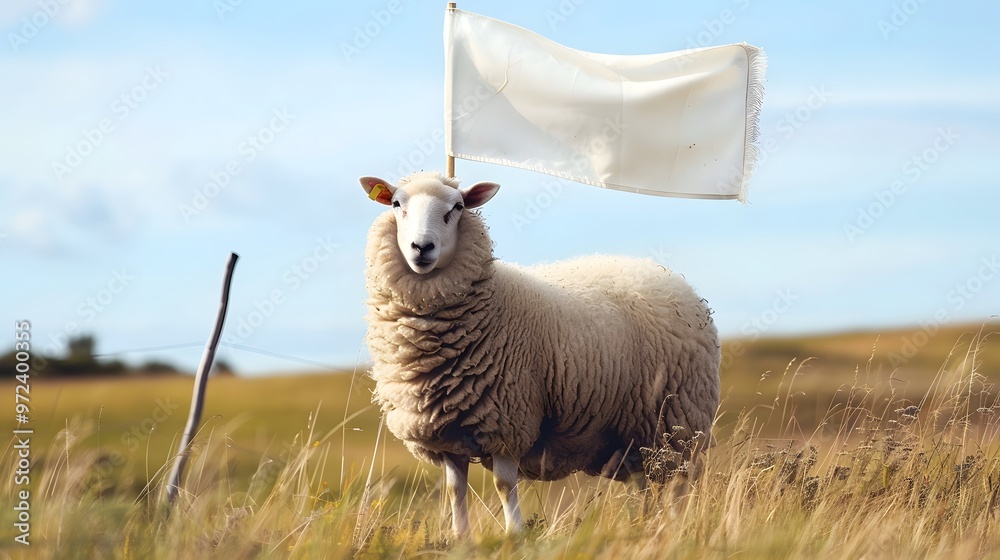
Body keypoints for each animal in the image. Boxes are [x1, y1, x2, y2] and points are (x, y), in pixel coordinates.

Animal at [360, 171, 721, 536]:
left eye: (457, 207)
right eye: (396, 204)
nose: (422, 248)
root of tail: (669, 277)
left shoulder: (507, 420)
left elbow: (504, 485)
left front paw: (514, 534)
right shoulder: (445, 432)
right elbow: (454, 489)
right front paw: (461, 537)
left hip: (677, 423)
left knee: (677, 485)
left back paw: (675, 527)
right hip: (637, 435)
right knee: (645, 485)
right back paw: (645, 526)